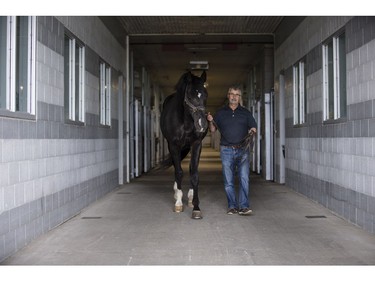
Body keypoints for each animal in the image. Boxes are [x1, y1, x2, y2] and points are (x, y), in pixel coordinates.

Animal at [161, 70, 210, 219]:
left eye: (205, 94)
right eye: (190, 95)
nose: (202, 124)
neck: (185, 121)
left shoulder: (196, 144)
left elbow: (194, 173)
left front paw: (196, 207)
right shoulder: (174, 145)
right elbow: (179, 172)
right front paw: (178, 202)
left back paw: (189, 197)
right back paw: (176, 192)